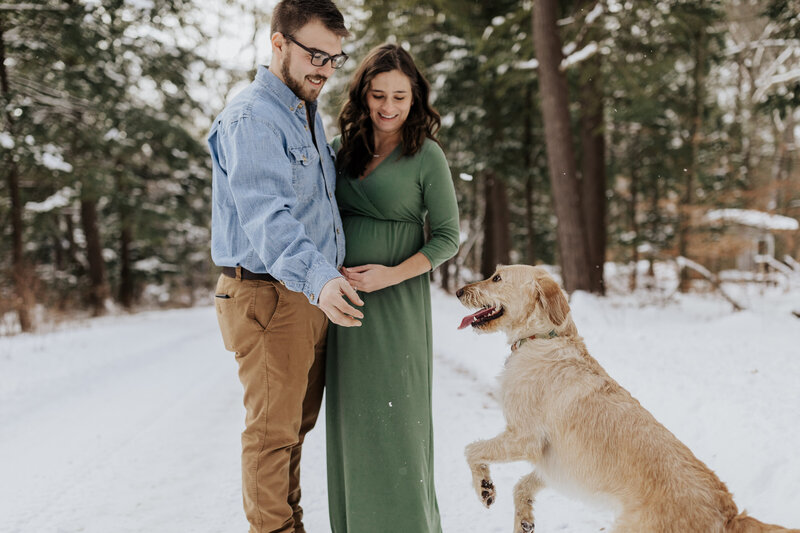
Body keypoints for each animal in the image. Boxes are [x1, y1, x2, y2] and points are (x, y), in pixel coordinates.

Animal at [454, 264, 796, 532]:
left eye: (497, 277)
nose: (458, 291)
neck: (543, 338)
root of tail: (730, 515)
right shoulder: (556, 464)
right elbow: (521, 485)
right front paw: (523, 520)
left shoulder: (524, 438)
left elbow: (472, 450)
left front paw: (483, 487)